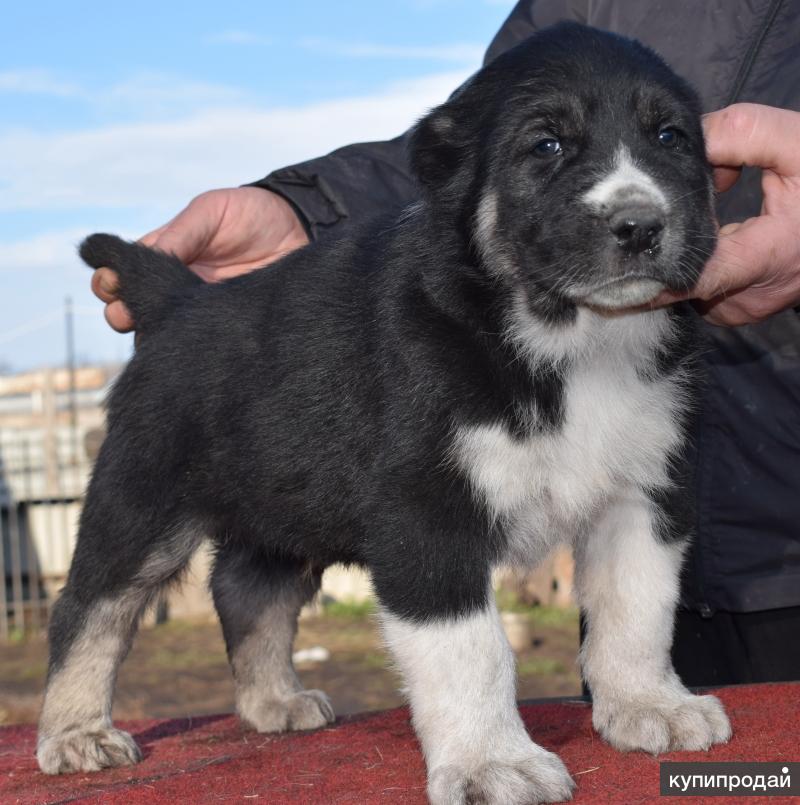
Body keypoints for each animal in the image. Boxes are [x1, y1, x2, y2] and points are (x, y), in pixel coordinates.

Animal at [42, 22, 732, 800]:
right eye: (547, 145)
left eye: (670, 137)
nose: (640, 225)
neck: (568, 339)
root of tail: (179, 298)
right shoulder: (425, 515)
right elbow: (471, 649)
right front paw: (492, 760)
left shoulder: (644, 494)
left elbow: (637, 610)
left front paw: (650, 705)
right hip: (141, 498)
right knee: (89, 610)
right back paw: (76, 733)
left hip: (282, 496)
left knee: (246, 589)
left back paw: (273, 700)